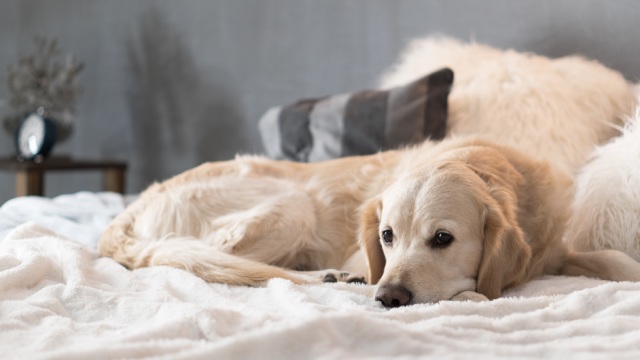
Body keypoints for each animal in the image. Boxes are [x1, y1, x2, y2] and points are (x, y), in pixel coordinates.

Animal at [97, 137, 640, 306]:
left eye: (442, 238)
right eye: (387, 236)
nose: (388, 297)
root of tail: (128, 211)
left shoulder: (554, 248)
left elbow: (612, 257)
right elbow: (475, 293)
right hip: (292, 205)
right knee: (222, 261)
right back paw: (331, 275)